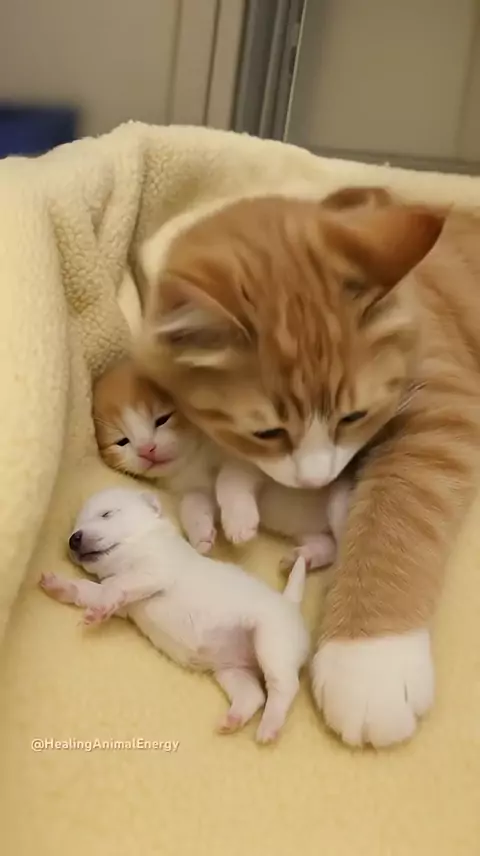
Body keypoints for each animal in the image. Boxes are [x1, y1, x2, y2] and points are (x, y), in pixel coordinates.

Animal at [40, 487, 310, 743]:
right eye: (76, 526)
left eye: (106, 514)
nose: (73, 539)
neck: (139, 545)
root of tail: (291, 604)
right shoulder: (123, 599)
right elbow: (93, 589)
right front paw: (61, 587)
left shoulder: (154, 570)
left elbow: (117, 586)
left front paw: (99, 608)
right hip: (232, 671)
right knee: (254, 695)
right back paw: (232, 719)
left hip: (272, 642)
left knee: (283, 686)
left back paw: (269, 727)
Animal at [93, 359, 350, 567]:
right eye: (121, 441)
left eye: (162, 419)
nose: (147, 449)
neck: (193, 458)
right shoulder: (194, 488)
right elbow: (192, 503)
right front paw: (200, 533)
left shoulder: (255, 458)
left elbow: (228, 478)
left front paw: (239, 523)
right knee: (332, 547)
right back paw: (304, 557)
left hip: (339, 502)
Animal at [135, 185, 480, 748]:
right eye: (268, 433)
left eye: (354, 416)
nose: (321, 479)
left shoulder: (446, 401)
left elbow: (399, 514)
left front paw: (369, 665)